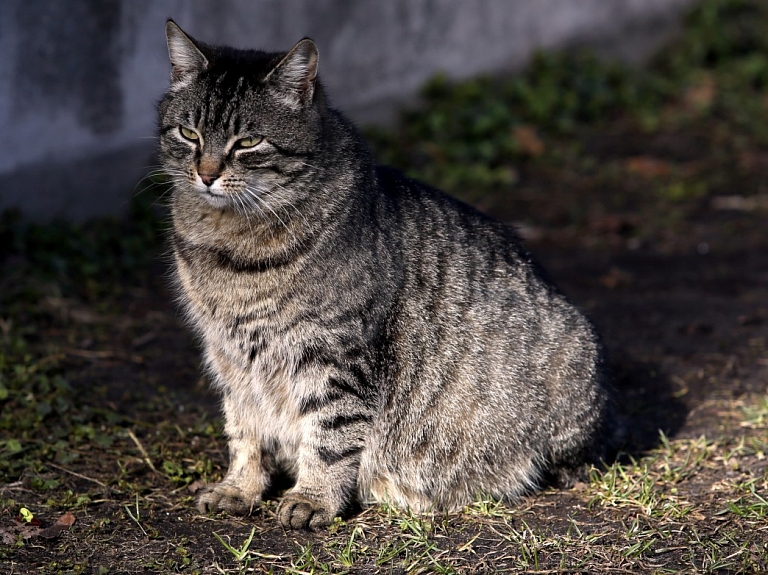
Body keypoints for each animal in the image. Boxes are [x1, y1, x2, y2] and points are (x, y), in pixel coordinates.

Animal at [159, 19, 620, 532]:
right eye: (188, 133)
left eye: (248, 142)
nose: (206, 174)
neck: (227, 246)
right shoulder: (231, 359)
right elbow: (244, 431)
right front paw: (240, 488)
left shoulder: (333, 355)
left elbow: (328, 434)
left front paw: (314, 498)